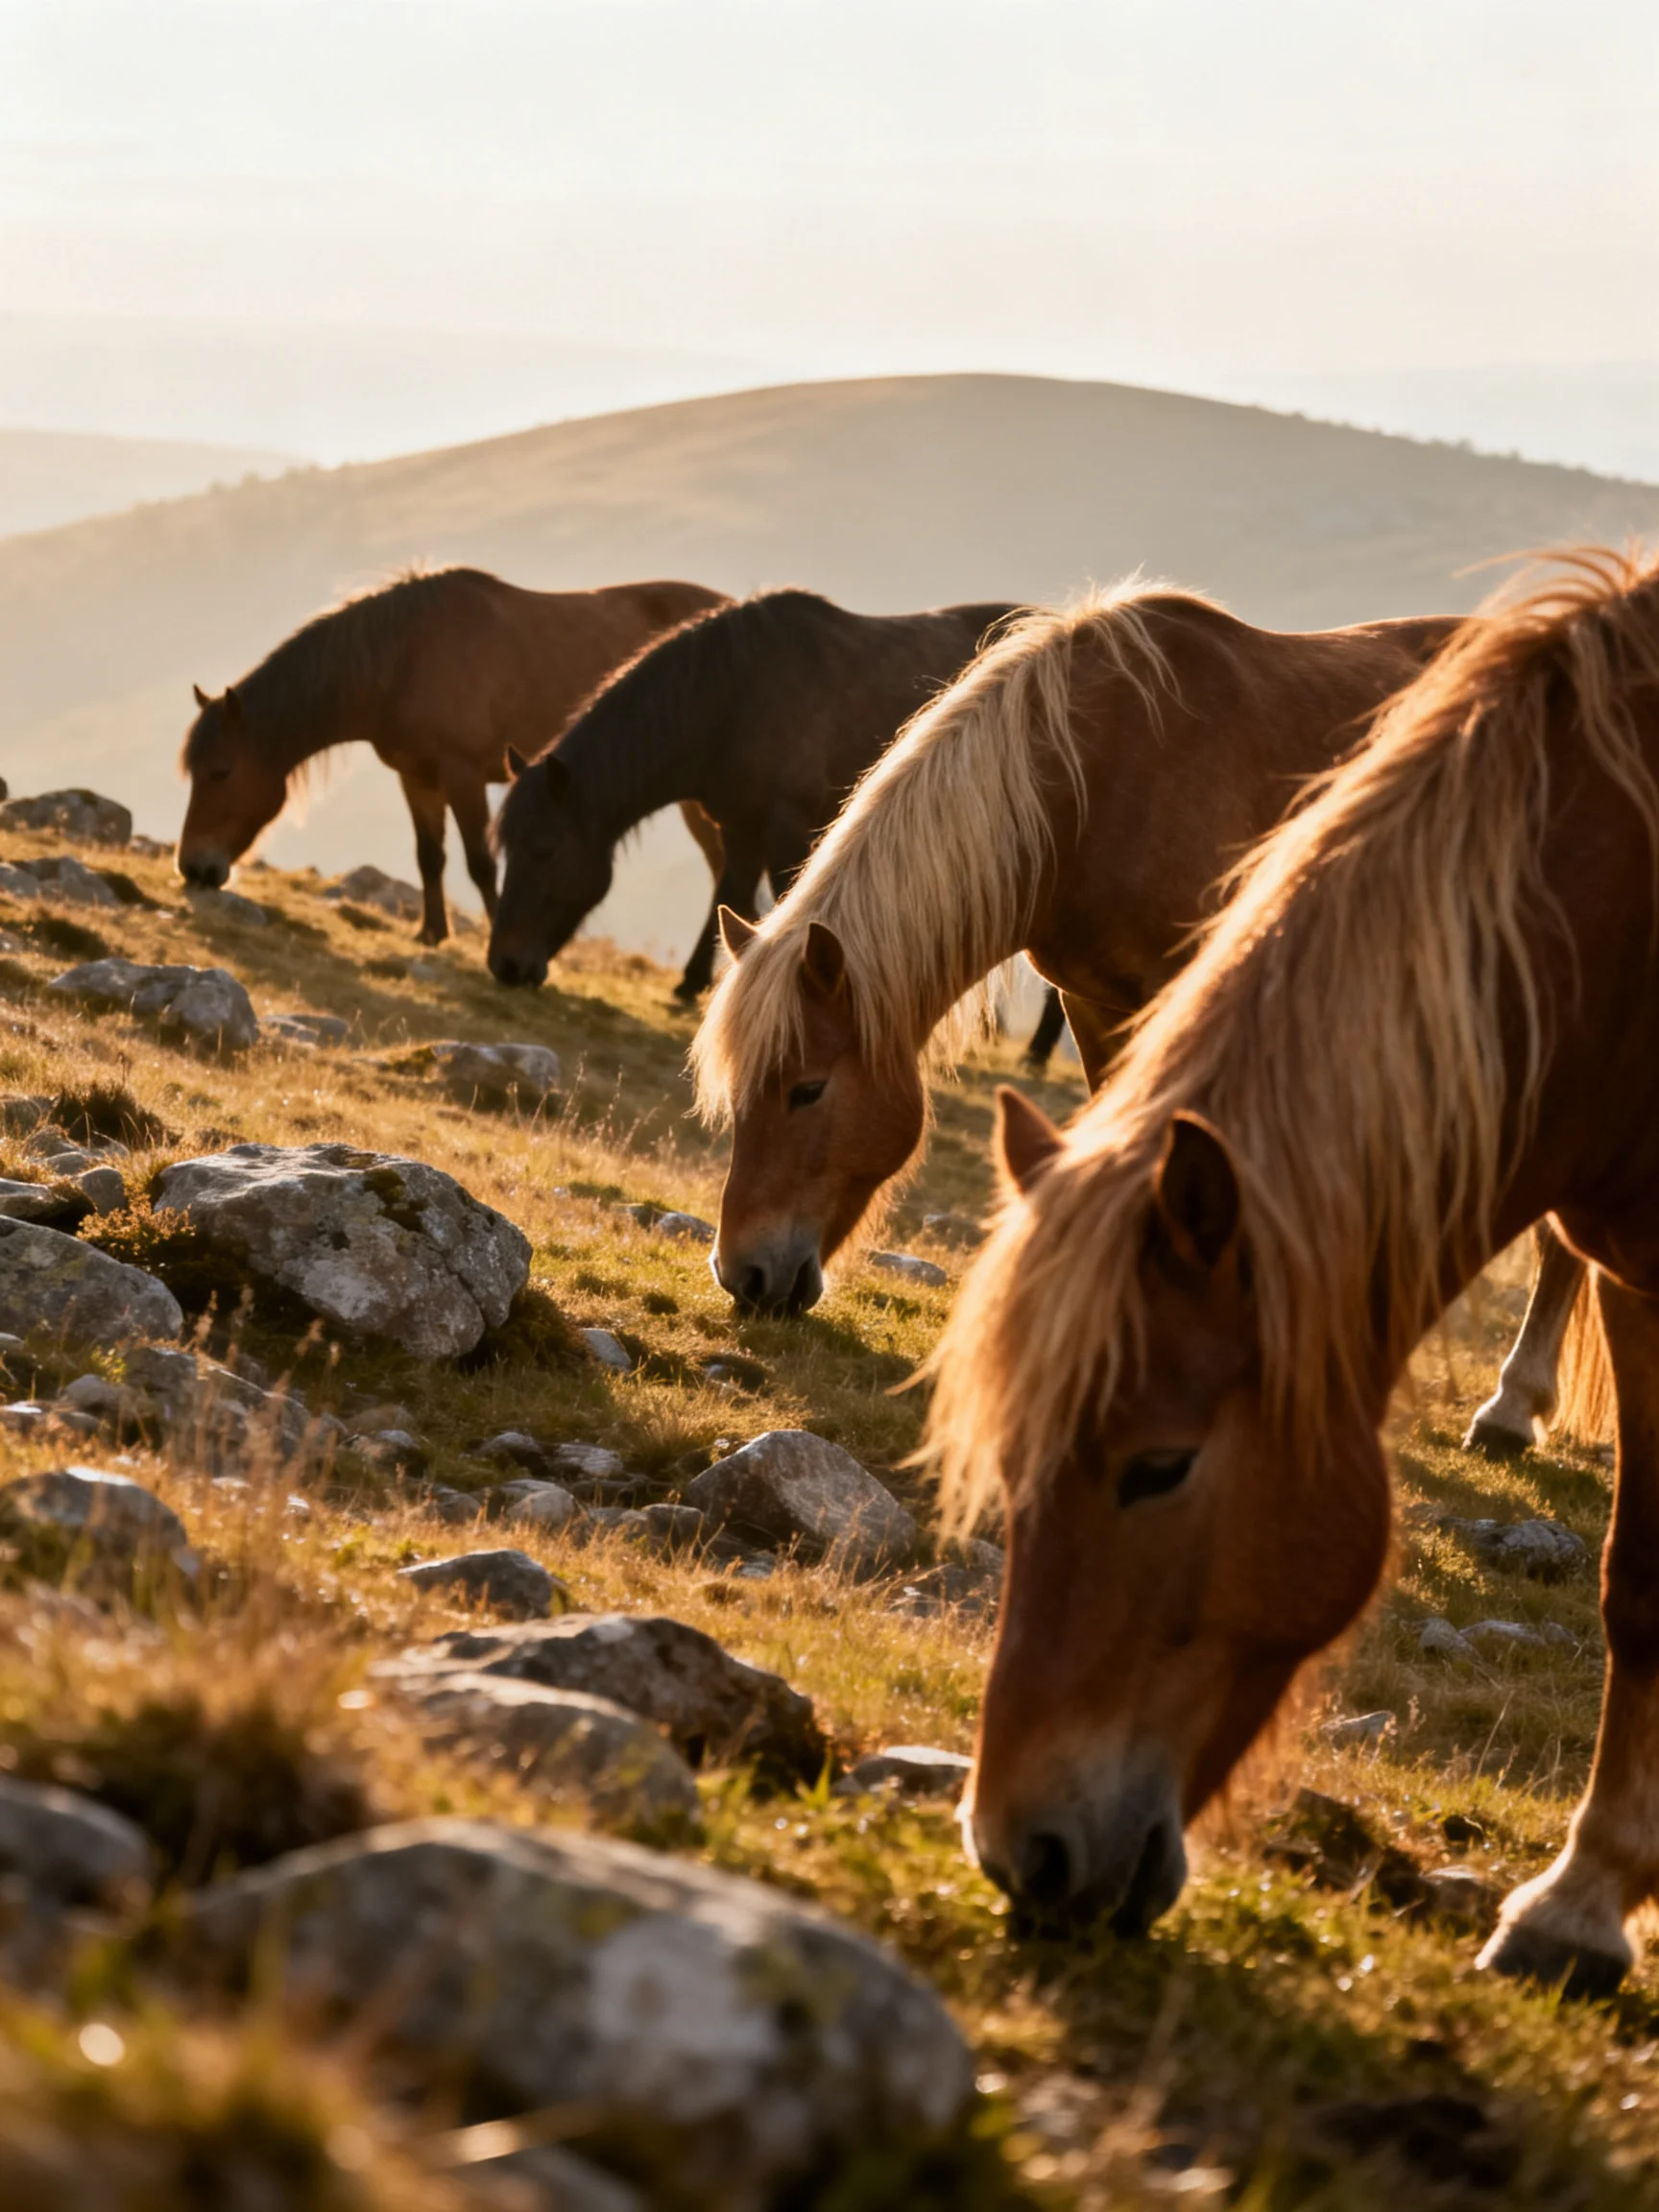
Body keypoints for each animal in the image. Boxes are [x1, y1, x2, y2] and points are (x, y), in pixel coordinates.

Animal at [178, 566, 729, 952]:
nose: (194, 868)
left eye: (220, 772)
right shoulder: (417, 778)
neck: (403, 658)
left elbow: (480, 863)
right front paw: (432, 933)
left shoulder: (465, 777)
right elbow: (430, 855)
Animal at [486, 588, 1019, 1000]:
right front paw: (692, 984)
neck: (733, 701)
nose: (505, 966)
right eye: (506, 848)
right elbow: (733, 895)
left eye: (545, 851)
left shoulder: (788, 828)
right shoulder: (739, 828)